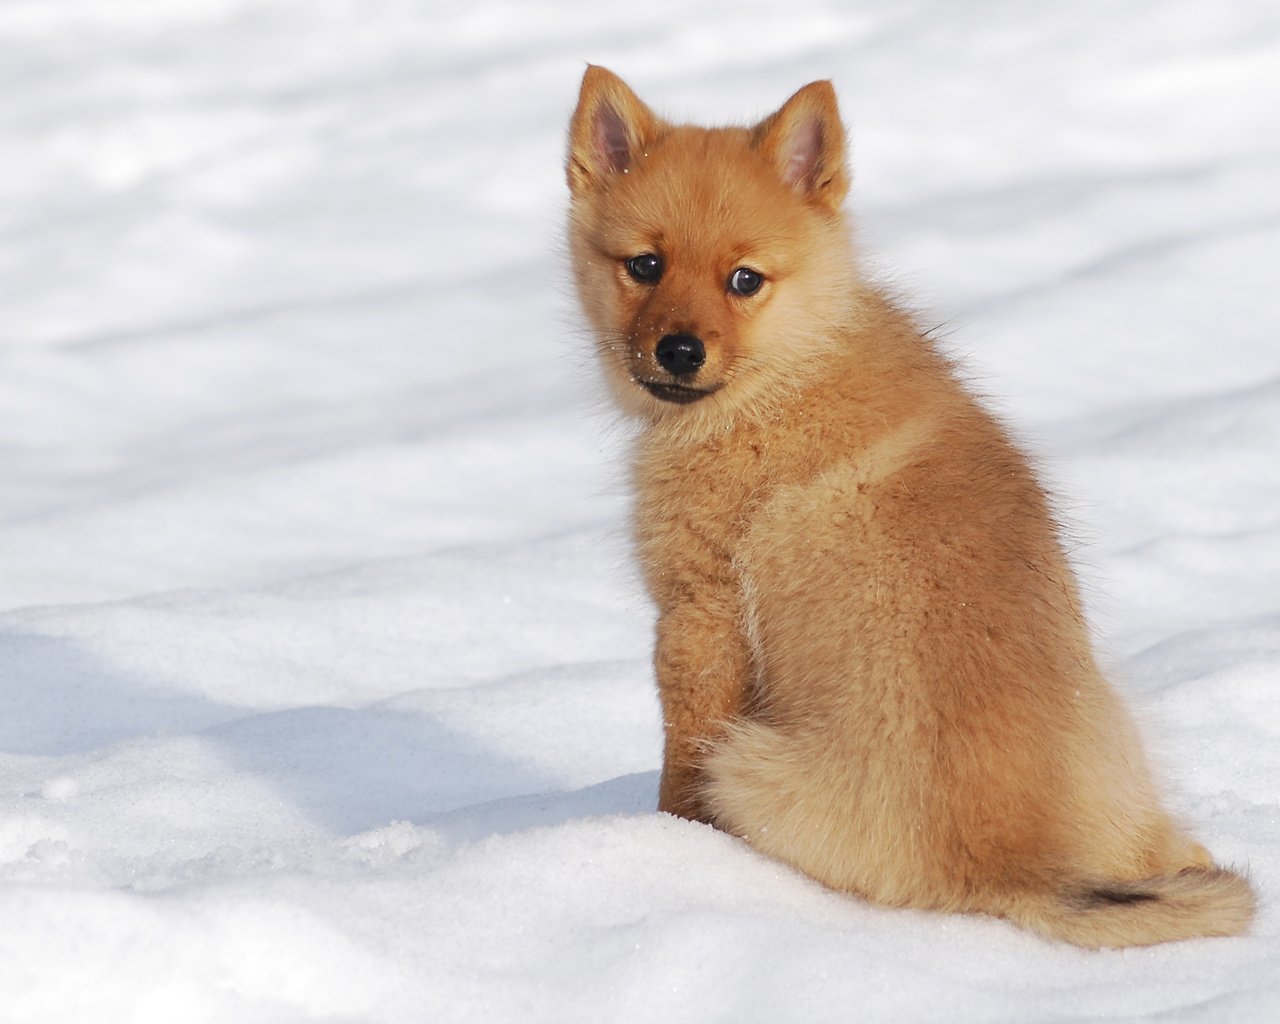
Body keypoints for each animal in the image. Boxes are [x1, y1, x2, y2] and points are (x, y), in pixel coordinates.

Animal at [565, 62, 1254, 942]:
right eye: (645, 266)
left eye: (744, 280)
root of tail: (1017, 865)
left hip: (749, 764)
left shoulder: (699, 615)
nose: (678, 352)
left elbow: (678, 770)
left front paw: (668, 845)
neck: (787, 375)